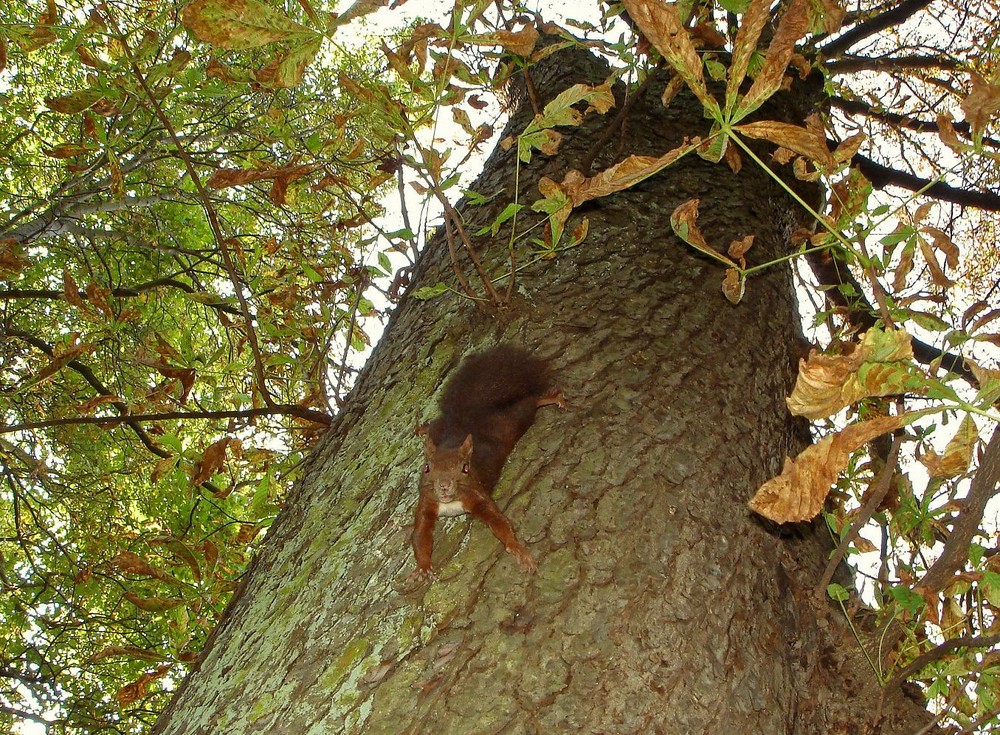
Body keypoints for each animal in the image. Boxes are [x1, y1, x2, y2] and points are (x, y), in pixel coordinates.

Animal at [406, 346, 564, 588]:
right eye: (426, 468)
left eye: (465, 468)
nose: (443, 485)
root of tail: (467, 415)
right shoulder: (427, 501)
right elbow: (421, 534)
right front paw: (423, 567)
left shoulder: (477, 494)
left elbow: (497, 520)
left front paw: (517, 549)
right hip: (443, 427)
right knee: (435, 424)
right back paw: (423, 429)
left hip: (510, 422)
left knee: (529, 403)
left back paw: (551, 397)